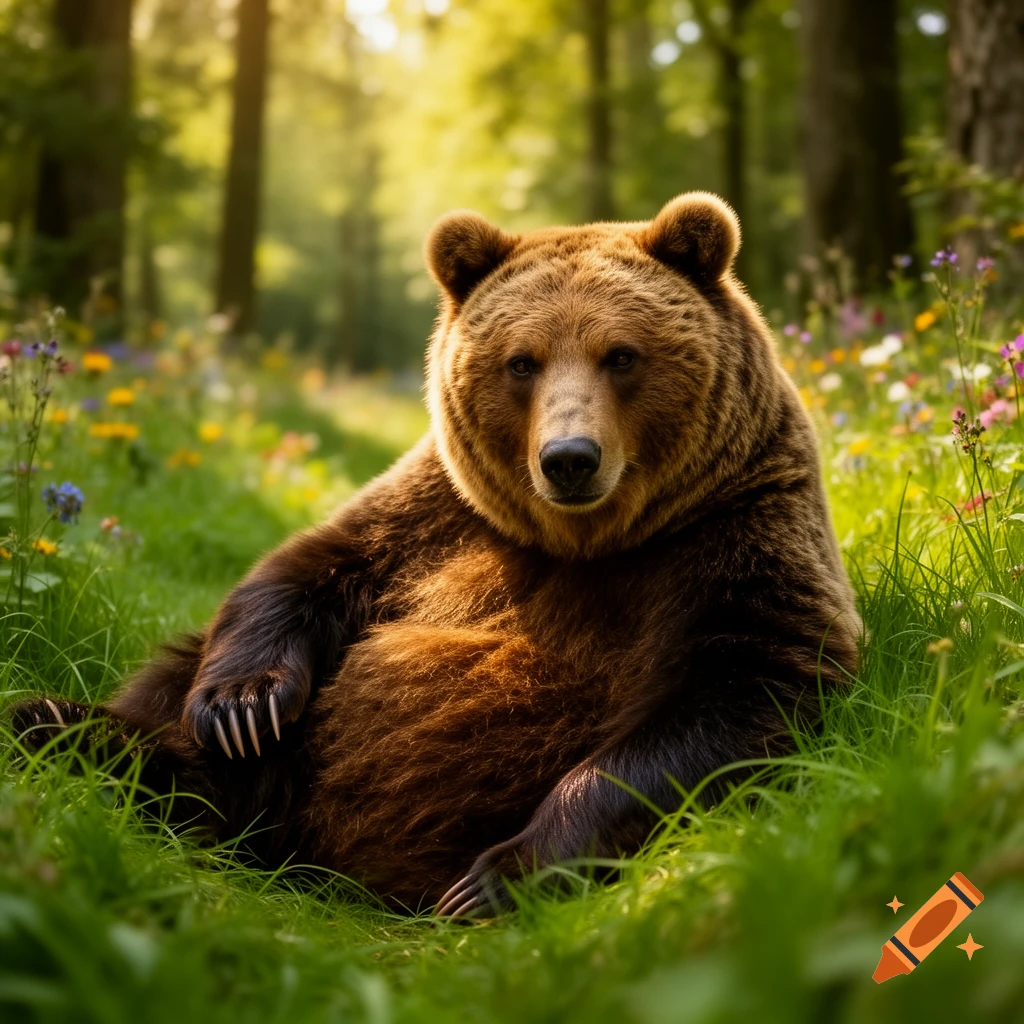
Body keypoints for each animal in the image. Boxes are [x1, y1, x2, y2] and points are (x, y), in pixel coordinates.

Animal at [13, 192, 860, 916]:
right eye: (522, 360)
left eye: (621, 354)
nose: (569, 459)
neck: (587, 540)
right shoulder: (443, 509)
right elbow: (307, 569)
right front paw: (243, 706)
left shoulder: (735, 528)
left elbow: (731, 700)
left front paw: (498, 878)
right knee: (178, 681)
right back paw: (65, 725)